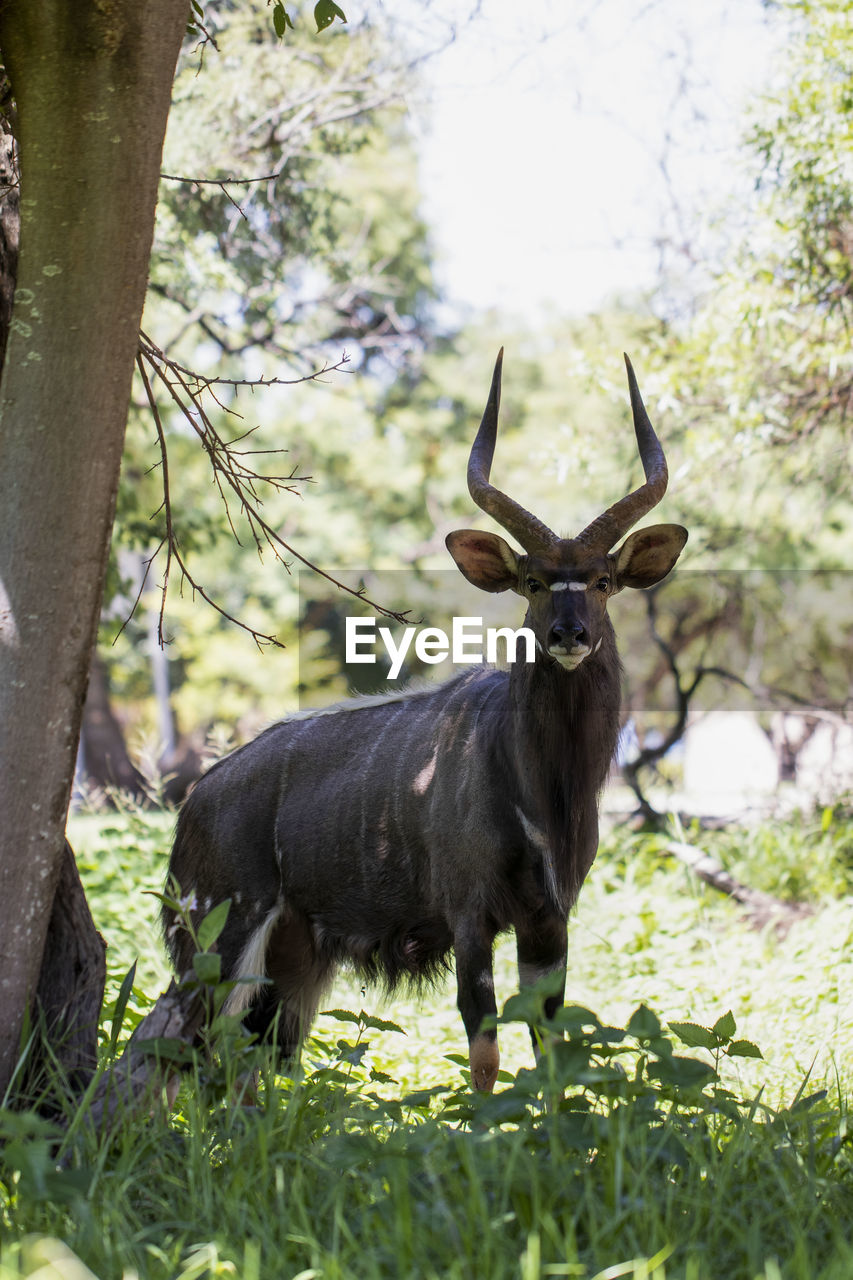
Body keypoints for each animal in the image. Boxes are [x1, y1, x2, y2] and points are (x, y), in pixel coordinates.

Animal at [163, 348, 686, 1090]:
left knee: (253, 1065)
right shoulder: (469, 914)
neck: (538, 788)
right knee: (188, 1054)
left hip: (294, 958)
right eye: (532, 582)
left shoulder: (548, 921)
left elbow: (550, 1048)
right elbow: (484, 1049)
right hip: (220, 937)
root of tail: (194, 802)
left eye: (603, 581)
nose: (568, 634)